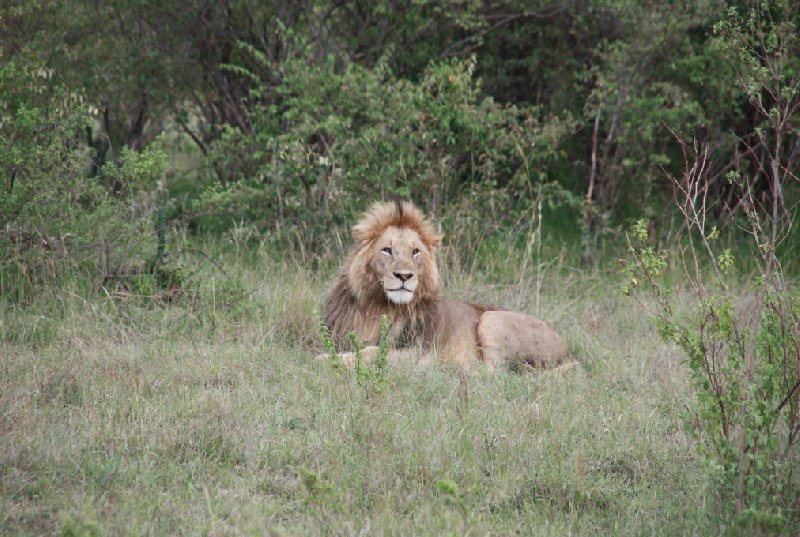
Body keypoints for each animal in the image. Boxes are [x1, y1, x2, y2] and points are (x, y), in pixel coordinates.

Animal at [322, 199, 580, 370]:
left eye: (415, 252)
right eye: (387, 250)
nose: (404, 276)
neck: (378, 307)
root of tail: (569, 353)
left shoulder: (420, 351)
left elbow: (371, 352)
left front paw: (328, 361)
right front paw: (328, 357)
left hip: (492, 319)